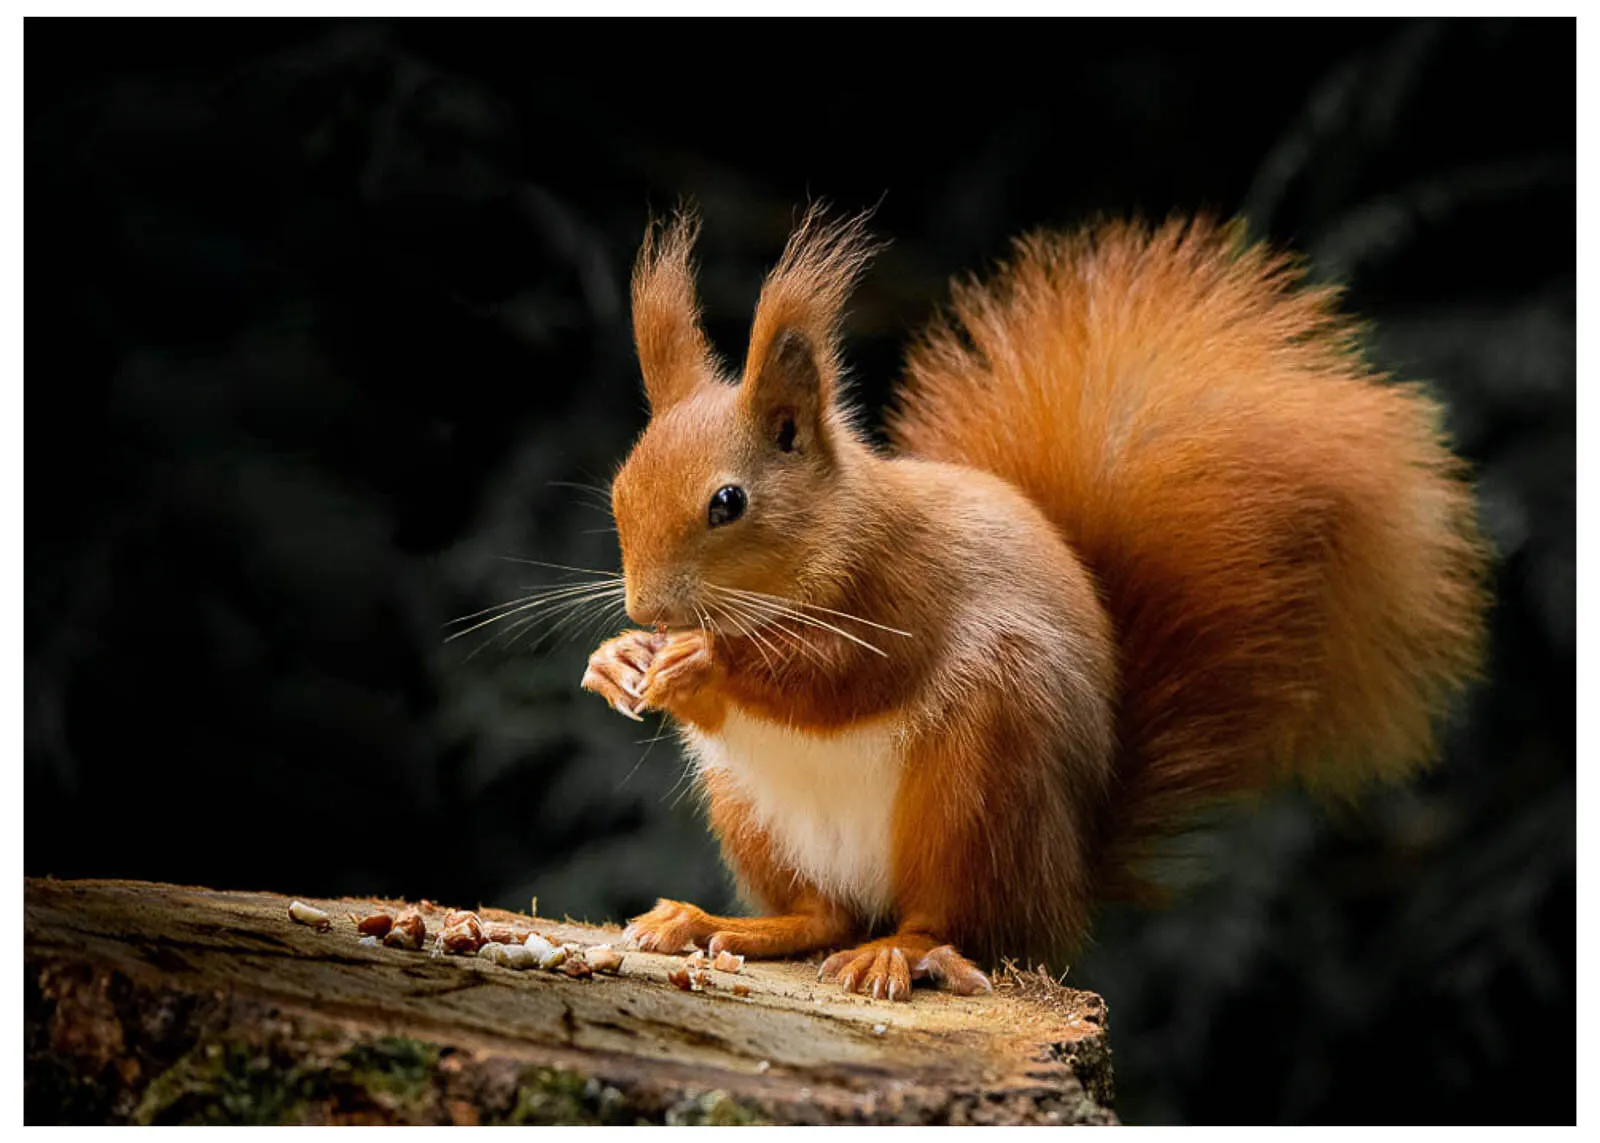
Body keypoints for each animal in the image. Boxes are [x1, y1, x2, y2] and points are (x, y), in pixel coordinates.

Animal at [579, 205, 1490, 1001]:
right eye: (620, 487)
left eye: (728, 502)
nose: (649, 606)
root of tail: (1066, 879)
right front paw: (618, 660)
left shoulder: (903, 585)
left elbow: (844, 678)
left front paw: (707, 658)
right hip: (756, 814)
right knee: (825, 915)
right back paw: (715, 923)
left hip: (981, 781)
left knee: (948, 920)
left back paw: (898, 954)